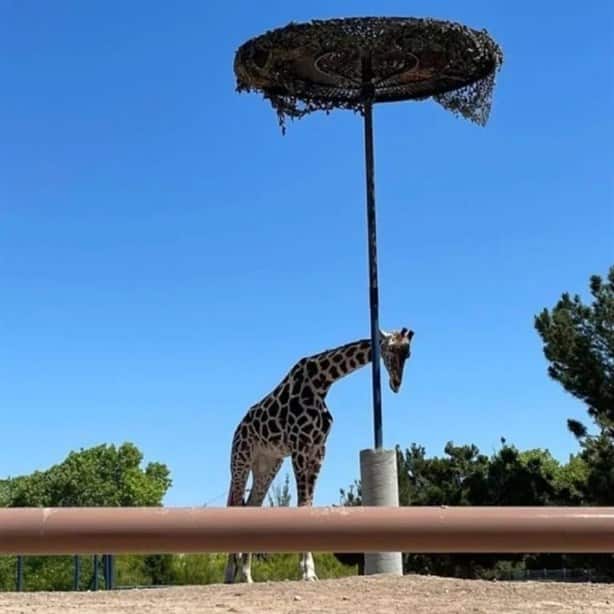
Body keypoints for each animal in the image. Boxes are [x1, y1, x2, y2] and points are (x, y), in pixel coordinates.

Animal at [224, 324, 416, 584]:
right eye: (392, 349)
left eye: (408, 354)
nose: (395, 384)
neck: (322, 382)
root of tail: (238, 429)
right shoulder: (299, 446)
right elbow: (302, 505)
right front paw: (306, 571)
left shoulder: (318, 449)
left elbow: (309, 506)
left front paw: (309, 571)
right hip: (240, 459)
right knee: (235, 504)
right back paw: (230, 574)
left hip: (268, 464)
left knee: (251, 506)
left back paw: (246, 576)